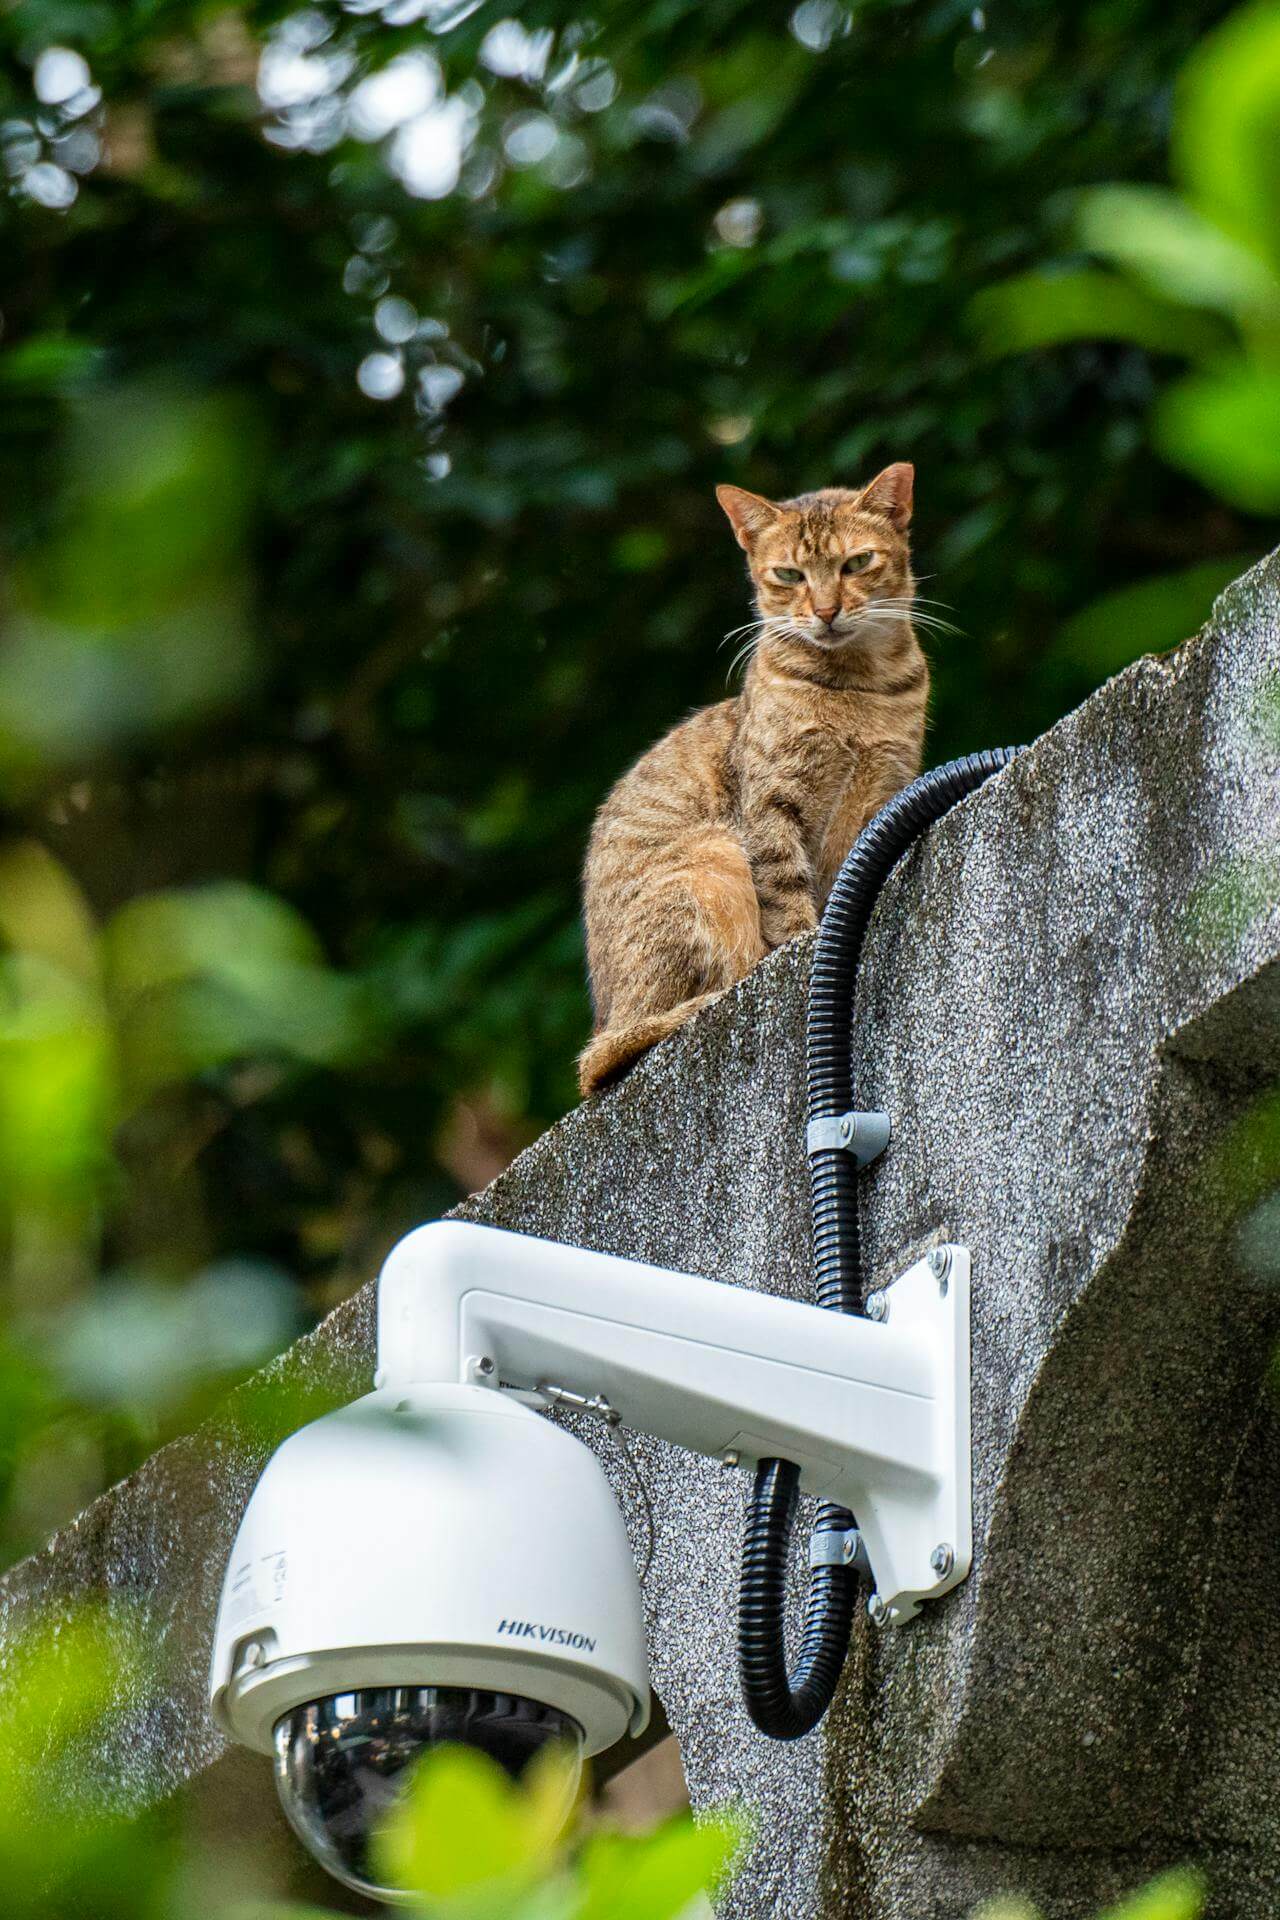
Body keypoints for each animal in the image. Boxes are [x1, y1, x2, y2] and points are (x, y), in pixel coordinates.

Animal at [579, 464, 932, 1098]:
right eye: (789, 574)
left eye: (856, 563)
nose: (826, 611)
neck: (859, 688)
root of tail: (605, 1021)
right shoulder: (770, 804)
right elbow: (787, 897)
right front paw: (798, 943)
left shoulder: (881, 797)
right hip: (710, 854)